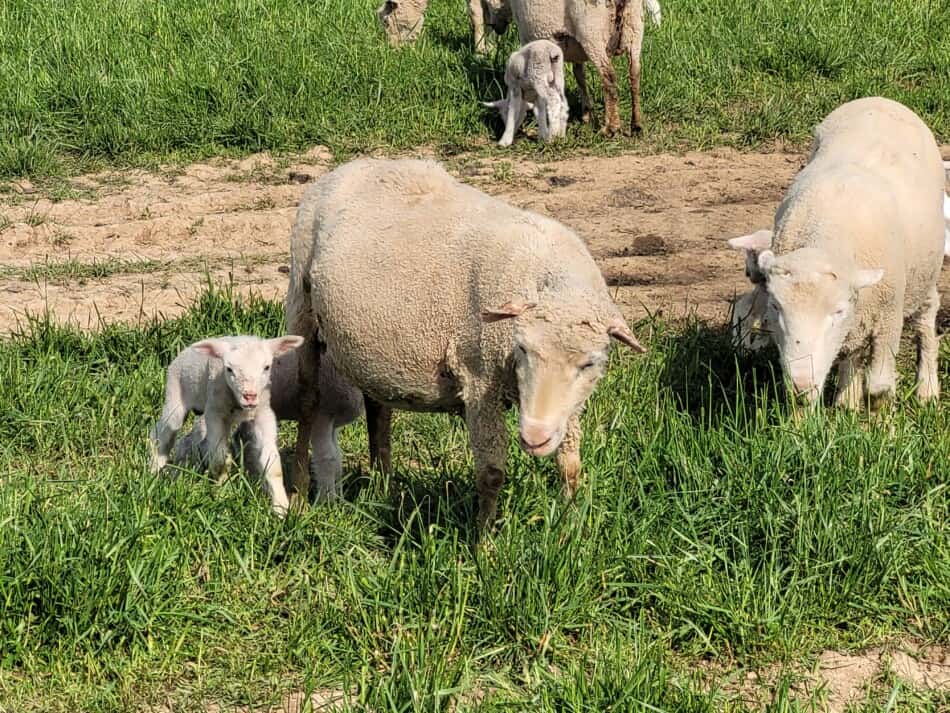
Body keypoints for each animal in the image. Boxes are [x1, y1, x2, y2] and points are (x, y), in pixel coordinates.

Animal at [150, 334, 304, 512]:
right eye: (229, 369)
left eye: (266, 367)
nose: (250, 396)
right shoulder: (215, 413)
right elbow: (220, 458)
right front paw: (221, 492)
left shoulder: (263, 414)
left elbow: (272, 464)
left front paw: (281, 508)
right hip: (175, 396)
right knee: (162, 433)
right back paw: (155, 470)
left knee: (191, 440)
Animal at [171, 344, 364, 500]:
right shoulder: (322, 417)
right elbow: (327, 460)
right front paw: (327, 502)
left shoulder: (332, 423)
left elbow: (337, 459)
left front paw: (339, 498)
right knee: (195, 441)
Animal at [732, 96, 948, 406]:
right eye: (776, 306)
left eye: (838, 310)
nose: (800, 383)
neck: (826, 235)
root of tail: (880, 99)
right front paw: (840, 406)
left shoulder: (888, 317)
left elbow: (880, 387)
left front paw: (881, 417)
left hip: (922, 273)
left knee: (926, 316)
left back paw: (927, 388)